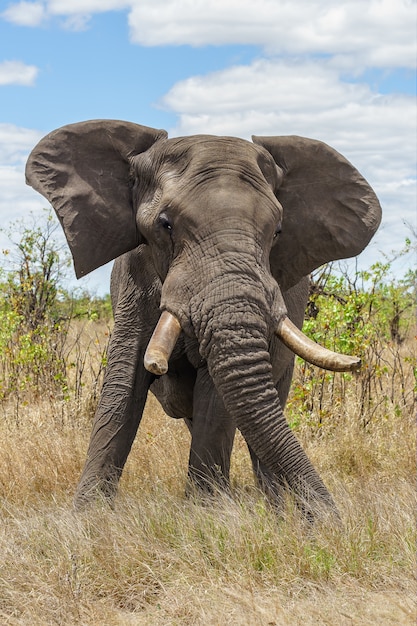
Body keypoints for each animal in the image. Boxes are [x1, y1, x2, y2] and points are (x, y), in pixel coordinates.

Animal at [24, 118, 378, 516]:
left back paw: (279, 508)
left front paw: (207, 514)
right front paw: (90, 516)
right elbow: (123, 382)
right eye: (165, 224)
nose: (333, 520)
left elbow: (216, 395)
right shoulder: (133, 279)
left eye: (277, 232)